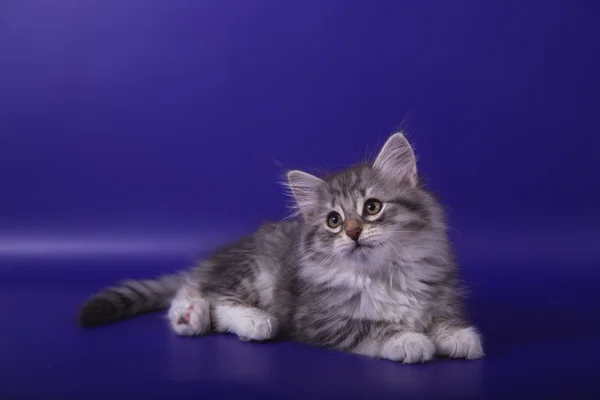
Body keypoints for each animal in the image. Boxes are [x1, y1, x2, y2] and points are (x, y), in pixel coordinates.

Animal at [78, 134, 482, 362]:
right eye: (333, 220)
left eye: (372, 207)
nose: (353, 232)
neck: (384, 275)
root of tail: (221, 255)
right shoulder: (320, 319)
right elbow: (372, 329)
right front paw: (410, 340)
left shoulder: (441, 294)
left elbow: (443, 319)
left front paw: (459, 336)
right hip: (256, 271)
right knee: (214, 294)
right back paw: (245, 320)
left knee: (193, 287)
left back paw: (188, 317)